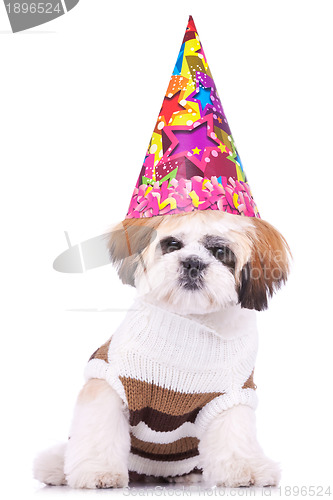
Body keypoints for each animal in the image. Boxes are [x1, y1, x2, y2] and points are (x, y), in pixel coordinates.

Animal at [32, 210, 290, 488]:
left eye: (220, 251)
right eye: (172, 244)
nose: (192, 263)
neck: (189, 324)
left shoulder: (231, 395)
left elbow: (234, 434)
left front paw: (246, 469)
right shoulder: (111, 382)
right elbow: (98, 428)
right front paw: (97, 471)